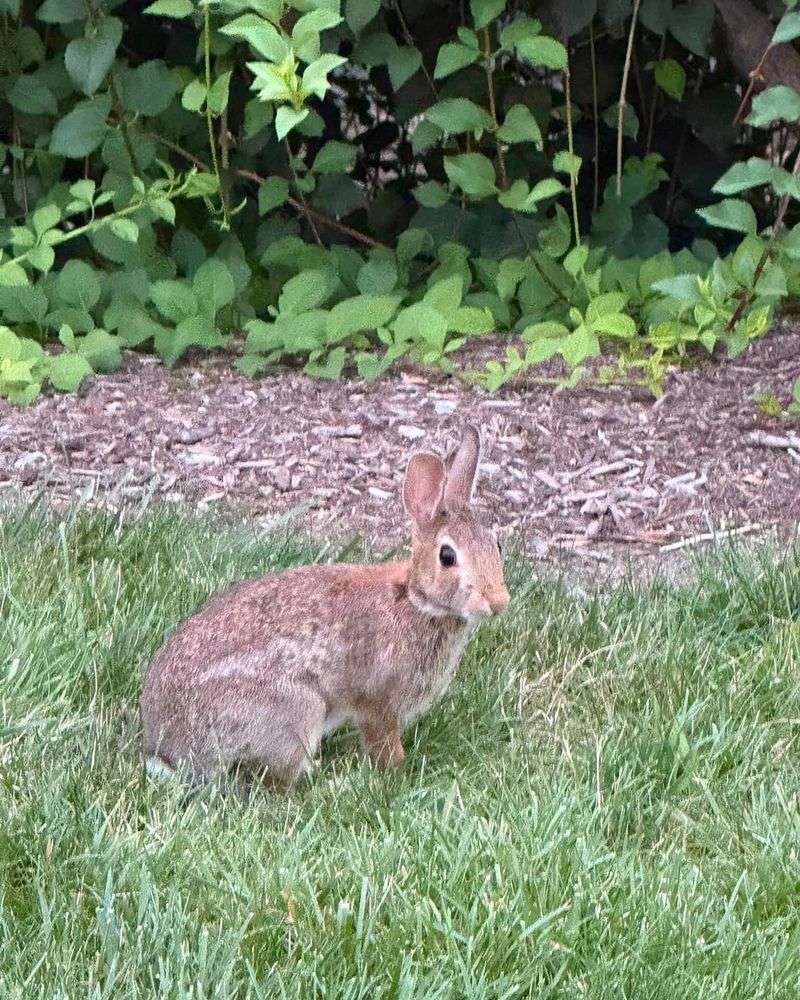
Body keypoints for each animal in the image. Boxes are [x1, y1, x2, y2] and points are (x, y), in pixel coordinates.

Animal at [139, 424, 510, 789]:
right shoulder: (379, 703)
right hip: (299, 710)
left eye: (496, 544)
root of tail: (169, 751)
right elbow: (383, 741)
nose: (498, 602)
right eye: (447, 556)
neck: (414, 600)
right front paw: (397, 771)